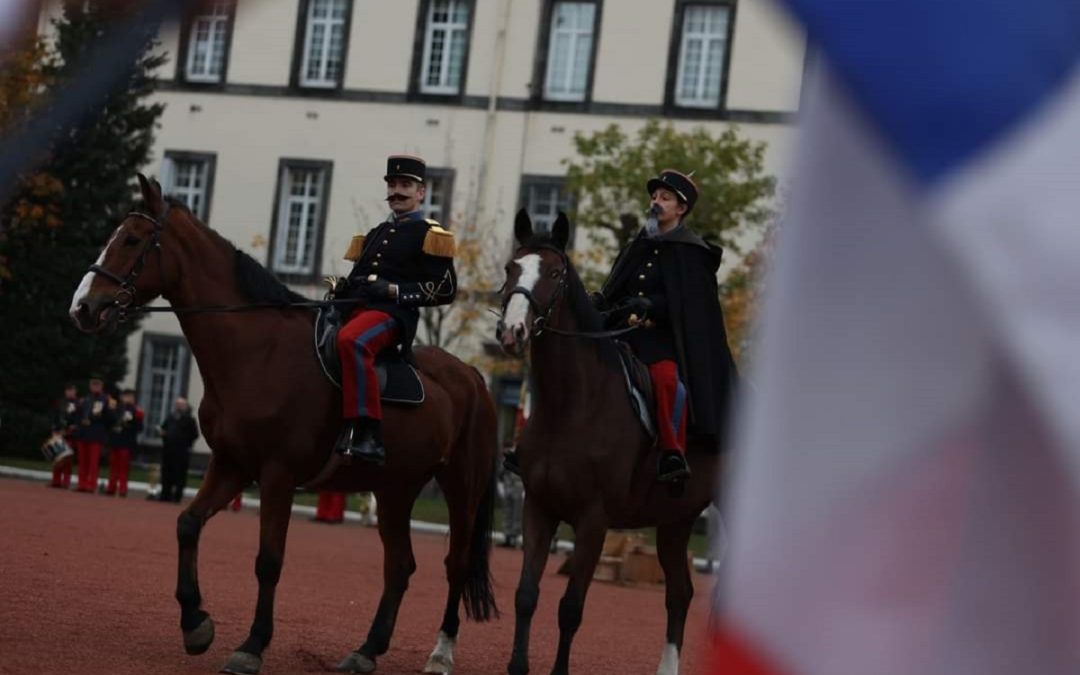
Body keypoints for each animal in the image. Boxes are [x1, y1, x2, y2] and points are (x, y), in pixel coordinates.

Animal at [69, 176, 498, 673]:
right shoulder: (232, 464)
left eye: (132, 240)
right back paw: (367, 650)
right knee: (400, 566)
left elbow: (269, 559)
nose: (82, 307)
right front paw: (195, 623)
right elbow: (187, 524)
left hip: (460, 486)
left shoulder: (278, 474)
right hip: (395, 488)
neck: (256, 351)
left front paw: (252, 645)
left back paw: (441, 652)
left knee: (456, 563)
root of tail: (472, 376)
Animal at [496, 210, 725, 673]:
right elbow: (526, 595)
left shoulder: (593, 520)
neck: (571, 403)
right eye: (512, 267)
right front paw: (518, 666)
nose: (512, 332)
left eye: (554, 272)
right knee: (680, 593)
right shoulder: (539, 507)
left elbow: (570, 608)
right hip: (676, 520)